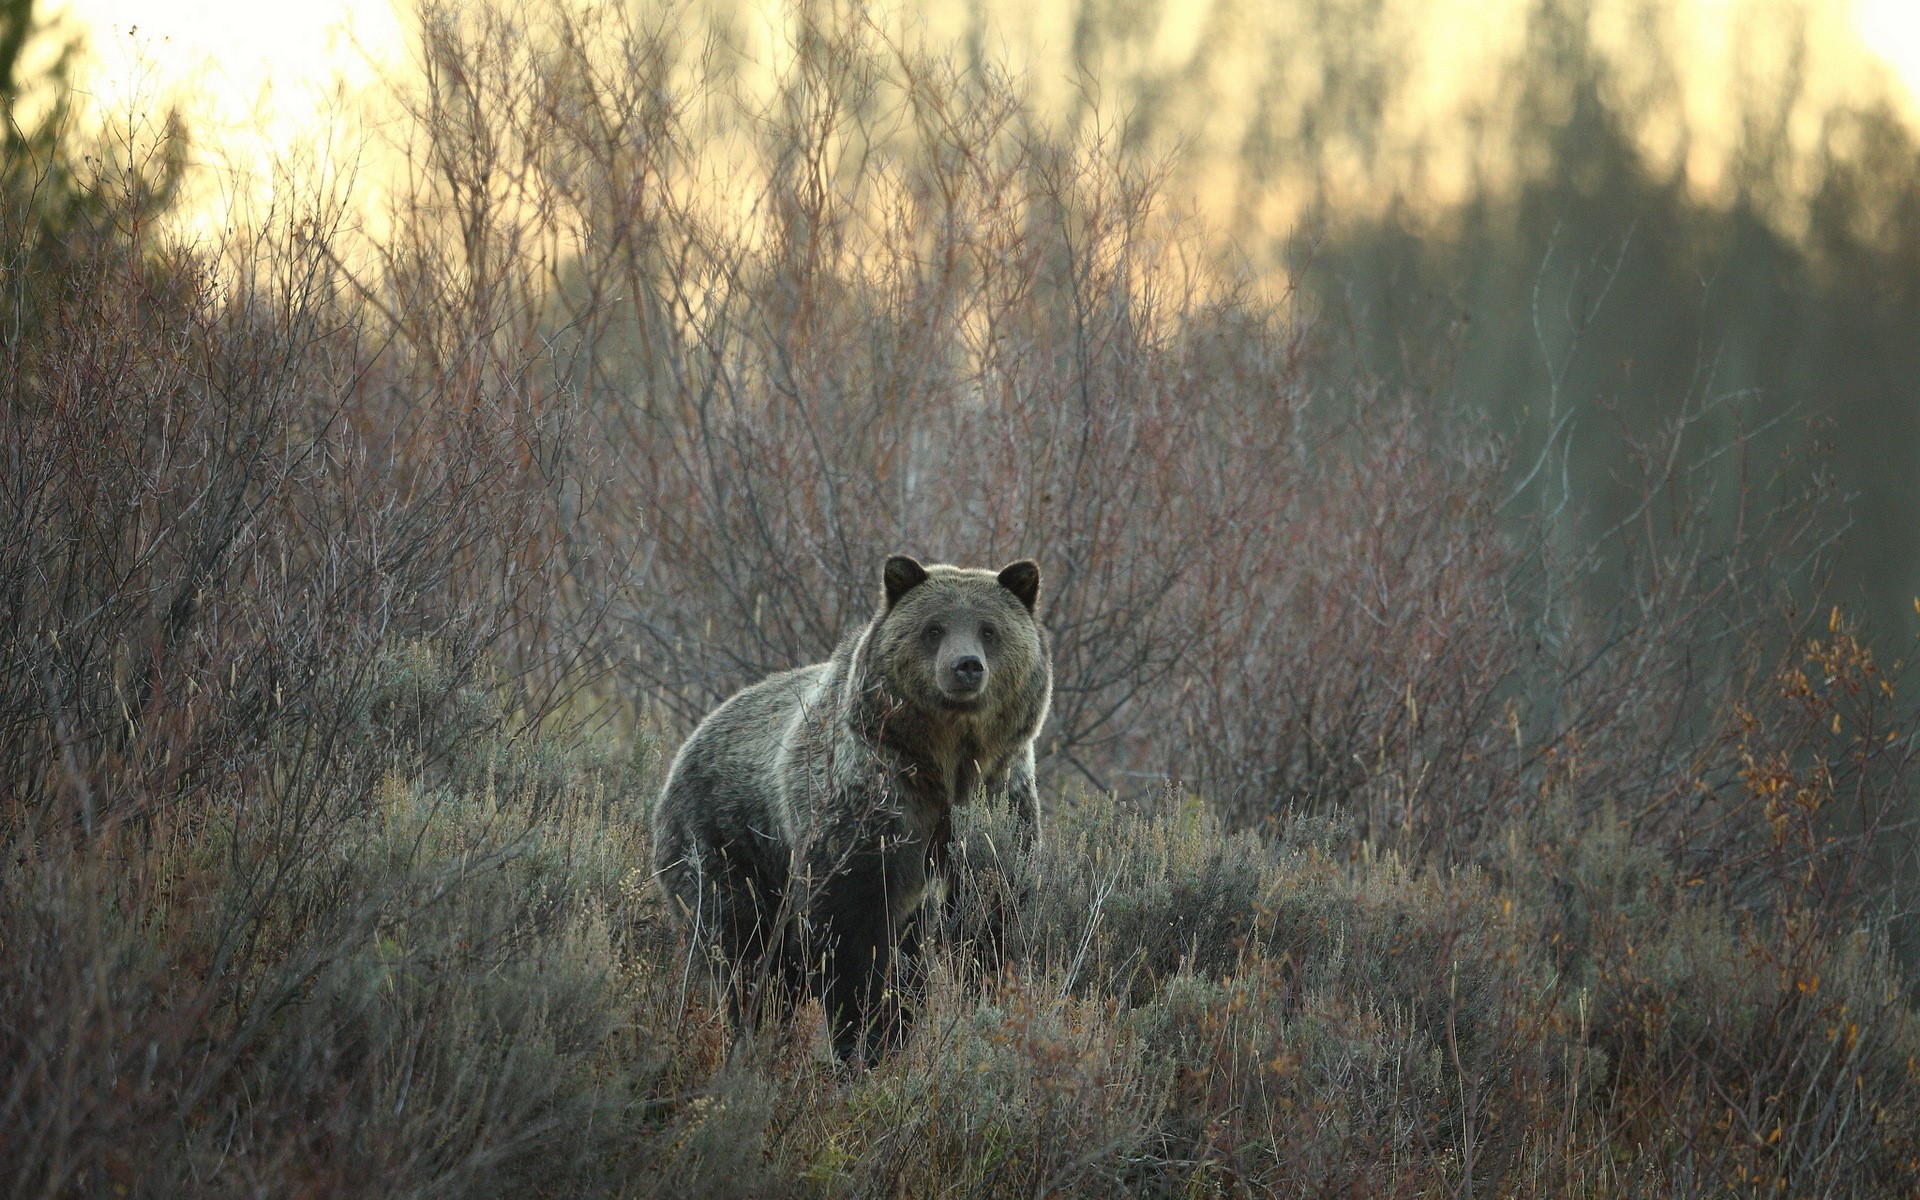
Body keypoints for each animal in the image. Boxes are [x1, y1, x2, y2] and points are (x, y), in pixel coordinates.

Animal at [651, 554, 1051, 1064]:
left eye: (988, 629)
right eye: (934, 628)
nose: (966, 667)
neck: (943, 765)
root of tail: (689, 742)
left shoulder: (998, 797)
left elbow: (991, 910)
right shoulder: (868, 802)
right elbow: (854, 930)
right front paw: (865, 1036)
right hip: (726, 840)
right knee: (744, 949)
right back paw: (754, 1030)